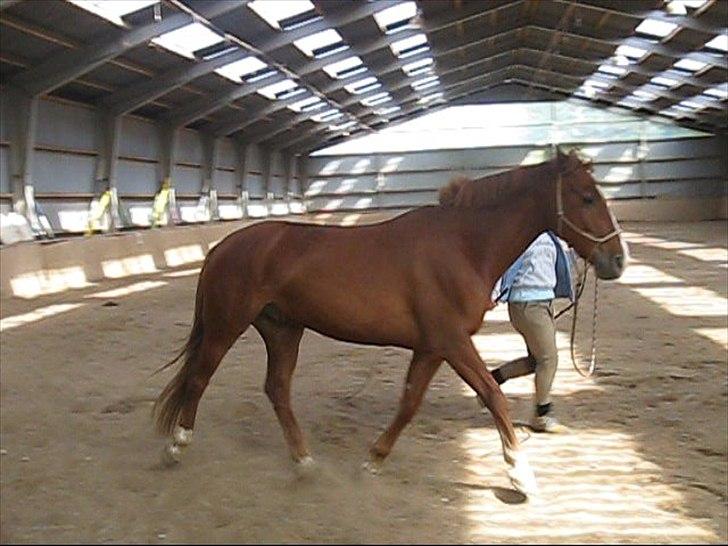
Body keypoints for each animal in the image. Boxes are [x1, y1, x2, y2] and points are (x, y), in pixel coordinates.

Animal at [153, 148, 626, 498]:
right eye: (587, 197)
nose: (617, 260)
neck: (463, 245)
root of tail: (222, 247)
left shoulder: (432, 347)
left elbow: (410, 403)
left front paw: (373, 460)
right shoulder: (452, 341)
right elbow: (492, 396)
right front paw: (519, 475)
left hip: (283, 329)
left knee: (276, 390)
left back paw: (305, 462)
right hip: (227, 324)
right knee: (199, 377)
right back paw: (177, 445)